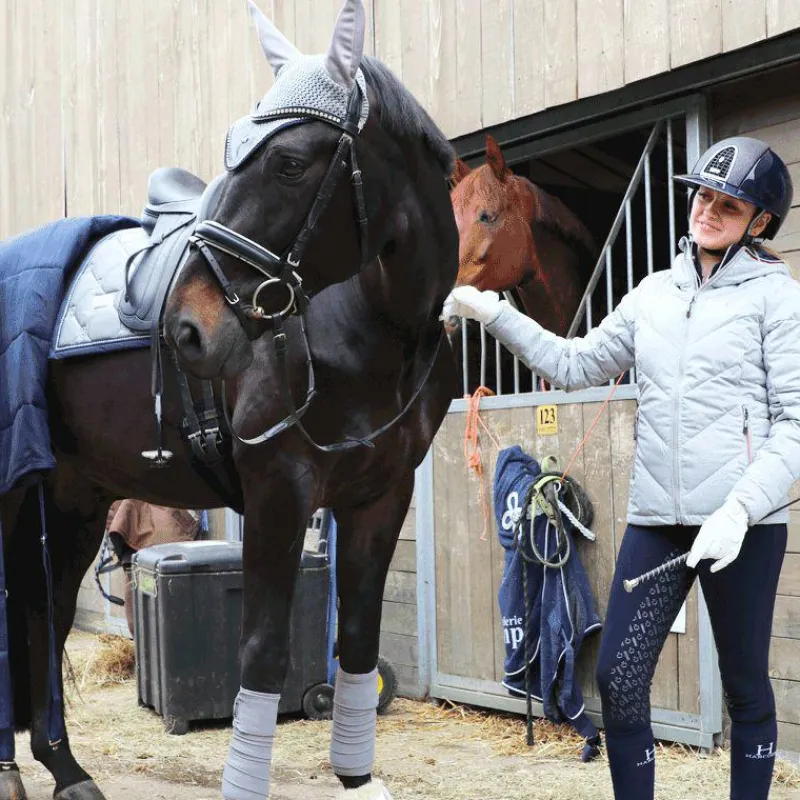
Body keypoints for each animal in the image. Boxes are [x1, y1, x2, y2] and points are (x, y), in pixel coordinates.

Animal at [0, 1, 457, 798]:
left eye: (290, 162)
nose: (187, 328)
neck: (366, 324)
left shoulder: (380, 496)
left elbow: (357, 643)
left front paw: (357, 776)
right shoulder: (280, 490)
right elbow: (264, 653)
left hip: (70, 496)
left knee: (42, 614)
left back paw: (65, 768)